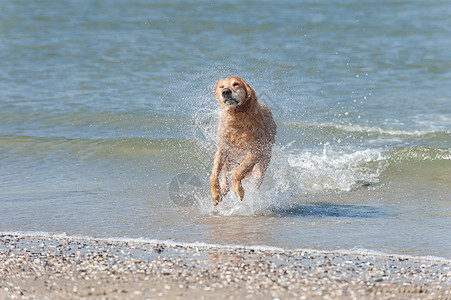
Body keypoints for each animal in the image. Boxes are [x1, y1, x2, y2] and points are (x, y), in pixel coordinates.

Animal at [210, 76, 278, 205]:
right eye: (221, 86)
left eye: (236, 84)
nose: (225, 91)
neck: (236, 117)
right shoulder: (222, 148)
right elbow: (214, 174)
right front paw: (215, 195)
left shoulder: (255, 151)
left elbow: (238, 171)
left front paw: (239, 190)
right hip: (229, 159)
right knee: (225, 175)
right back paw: (223, 188)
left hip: (264, 161)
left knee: (256, 178)